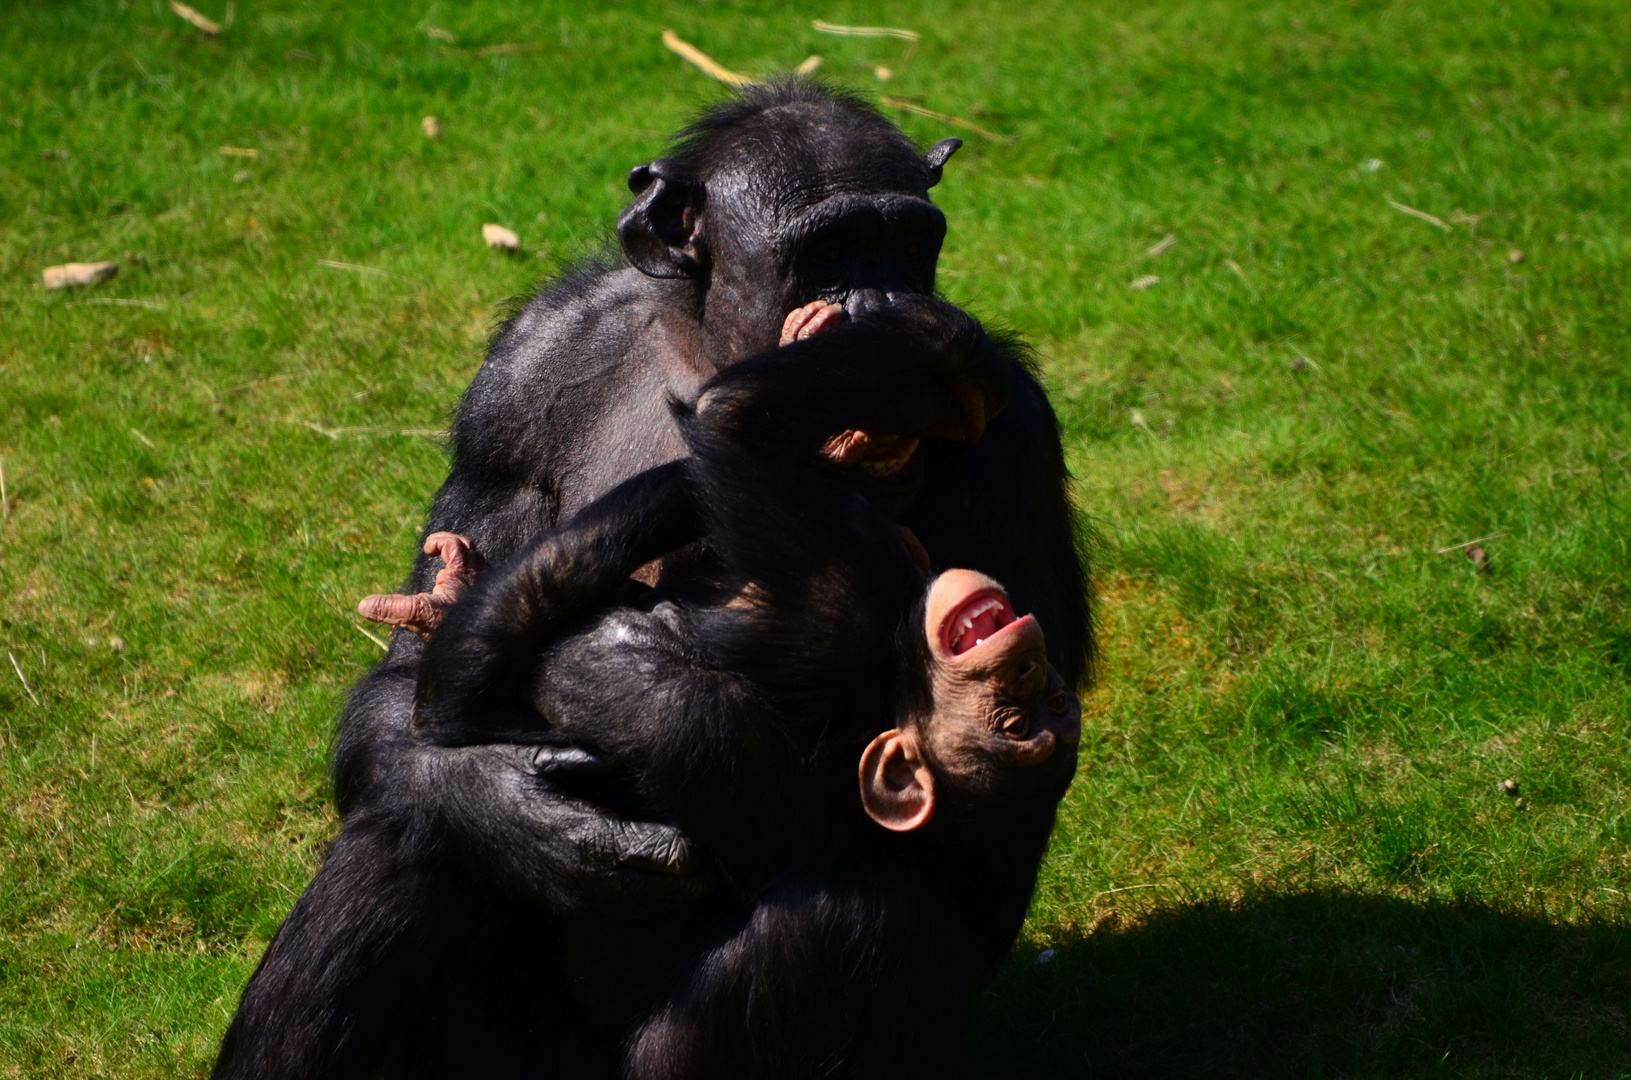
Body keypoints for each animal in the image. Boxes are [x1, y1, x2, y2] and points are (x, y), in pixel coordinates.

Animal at [210, 82, 1089, 1080]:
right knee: (406, 828)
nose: (881, 300)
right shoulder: (518, 377)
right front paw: (535, 817)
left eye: (908, 244)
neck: (708, 347)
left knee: (851, 920)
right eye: (831, 251)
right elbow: (410, 693)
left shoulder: (1014, 432)